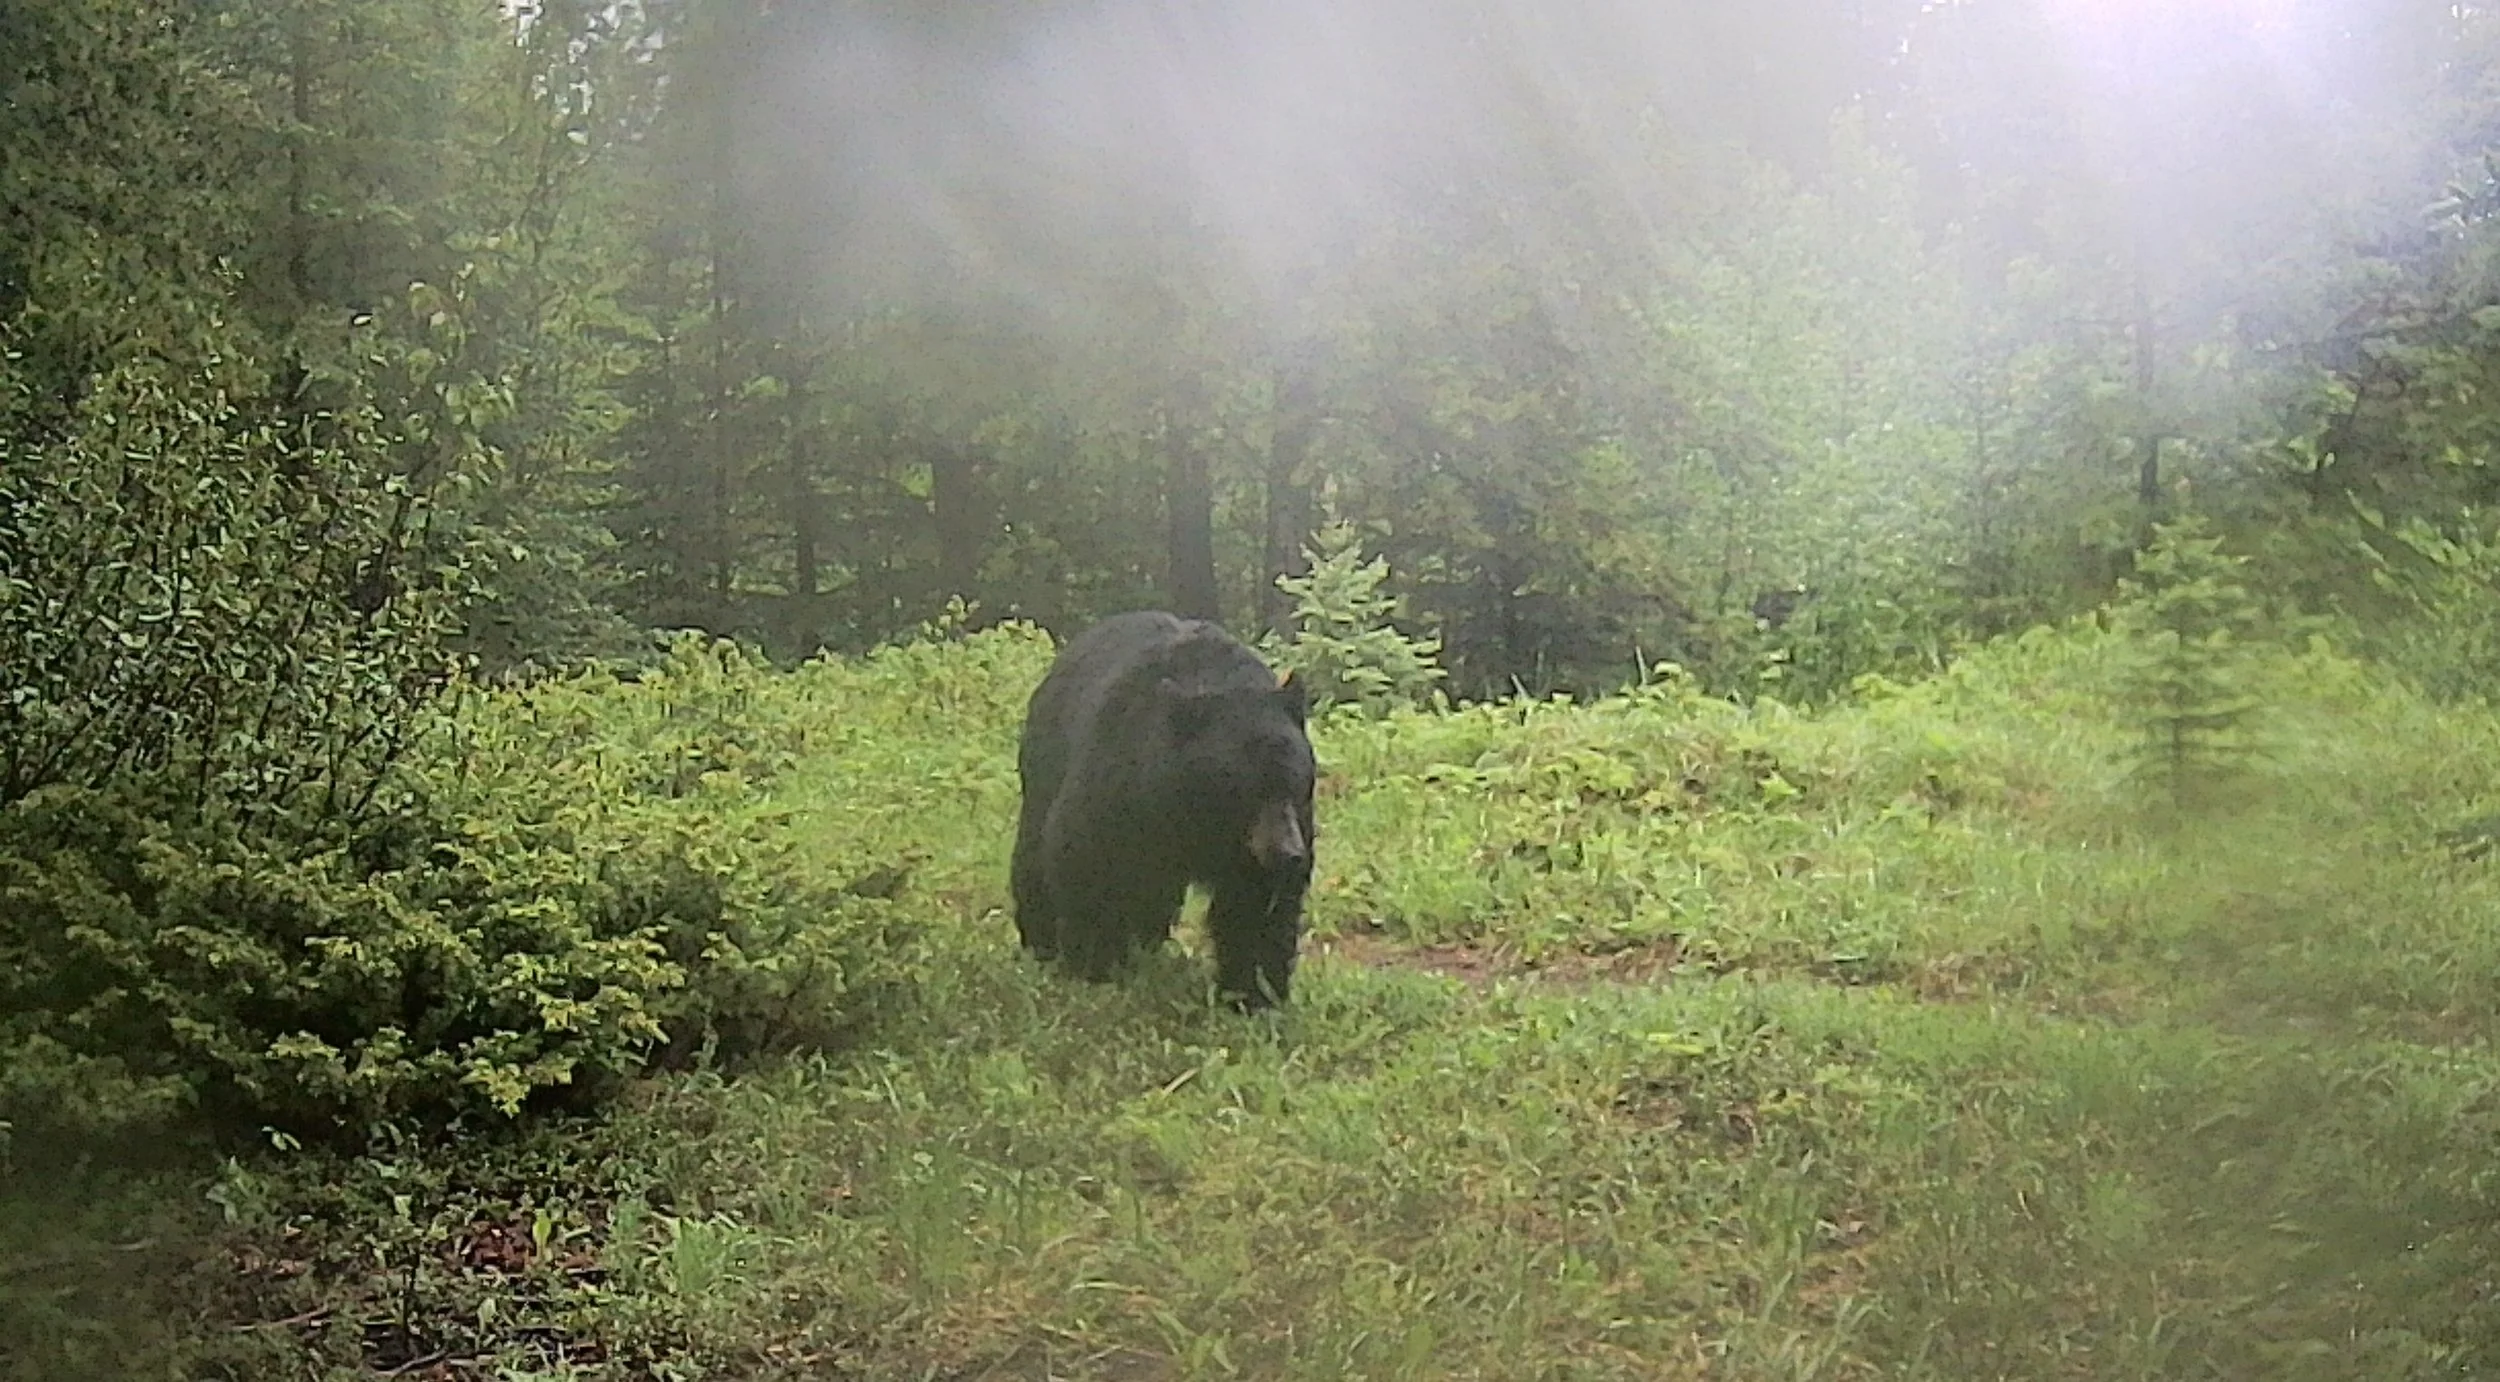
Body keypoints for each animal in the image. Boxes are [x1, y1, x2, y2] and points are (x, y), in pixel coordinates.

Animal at [1010, 611, 1317, 1009]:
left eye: (1295, 783)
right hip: (1046, 761)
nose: (1288, 853)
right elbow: (1090, 863)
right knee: (1034, 853)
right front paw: (1096, 968)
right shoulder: (1119, 777)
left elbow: (1258, 907)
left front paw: (1254, 994)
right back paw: (1042, 942)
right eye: (1249, 789)